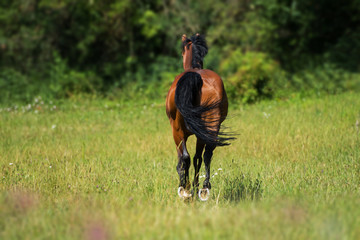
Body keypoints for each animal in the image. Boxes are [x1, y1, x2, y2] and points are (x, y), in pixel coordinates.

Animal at [166, 32, 233, 200]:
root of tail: (195, 76)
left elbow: (183, 160)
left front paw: (186, 185)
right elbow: (199, 158)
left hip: (177, 131)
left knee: (185, 157)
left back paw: (185, 189)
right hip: (210, 127)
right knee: (207, 154)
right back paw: (204, 188)